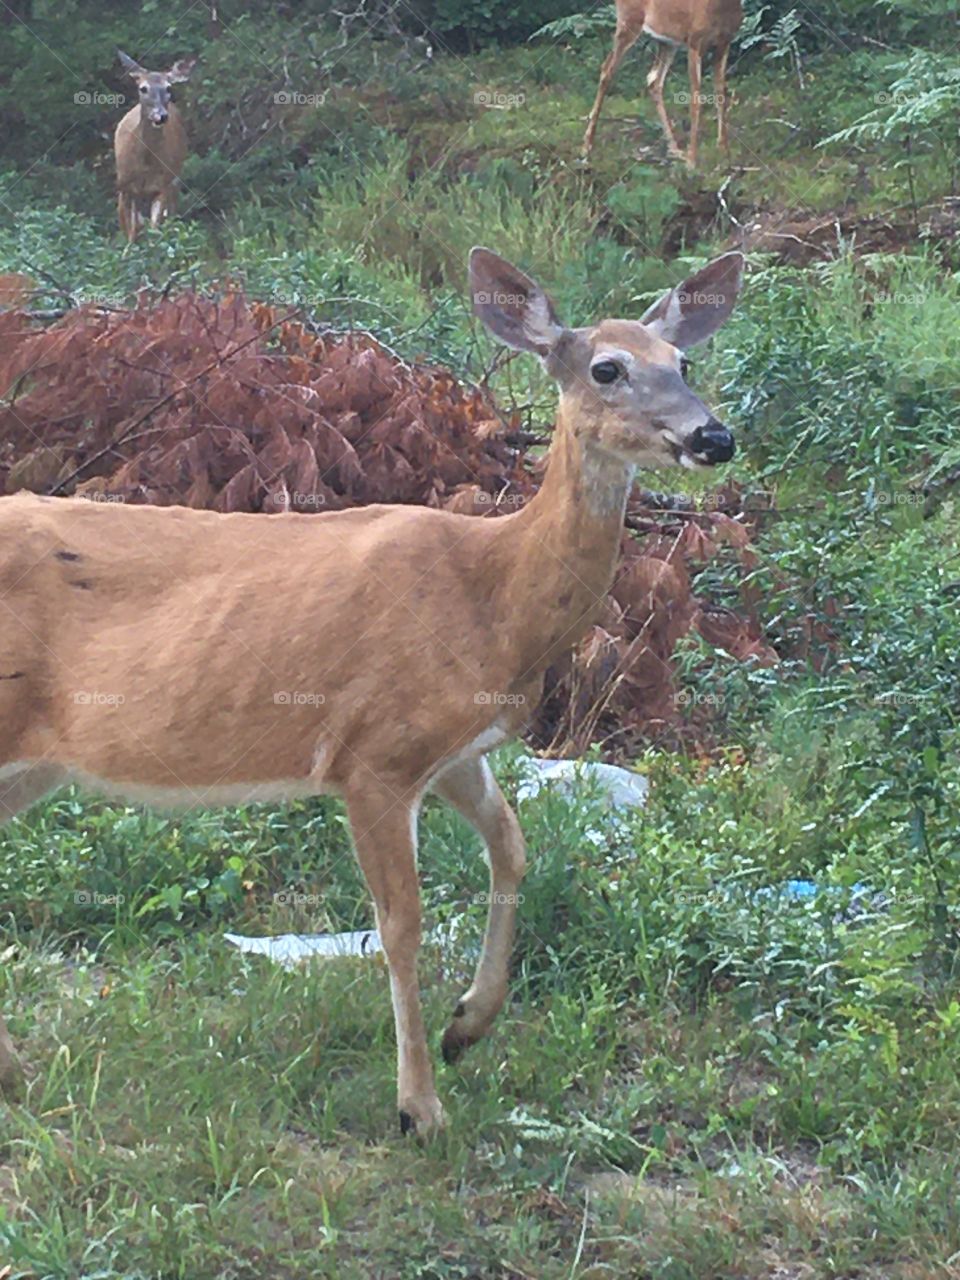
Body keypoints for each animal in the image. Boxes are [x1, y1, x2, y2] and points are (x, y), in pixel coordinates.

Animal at [0, 247, 743, 1135]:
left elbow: (512, 846)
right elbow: (402, 925)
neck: (491, 596)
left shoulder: (455, 748)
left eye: (684, 362)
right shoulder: (374, 756)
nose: (714, 436)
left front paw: (469, 1026)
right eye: (607, 368)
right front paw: (419, 1105)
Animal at [114, 50, 196, 244]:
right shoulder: (124, 187)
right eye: (143, 88)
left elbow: (154, 229)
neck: (145, 164)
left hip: (174, 178)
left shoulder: (162, 185)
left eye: (168, 88)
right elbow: (130, 232)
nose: (161, 116)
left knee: (170, 213)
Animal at [582, 0, 743, 168]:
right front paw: (692, 160)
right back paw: (587, 146)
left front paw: (724, 152)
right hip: (628, 21)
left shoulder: (724, 43)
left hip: (667, 41)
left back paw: (675, 149)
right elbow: (695, 100)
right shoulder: (694, 42)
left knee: (654, 80)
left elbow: (721, 95)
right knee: (606, 70)